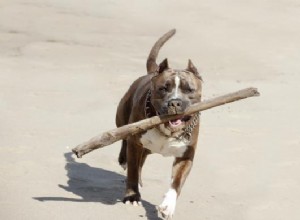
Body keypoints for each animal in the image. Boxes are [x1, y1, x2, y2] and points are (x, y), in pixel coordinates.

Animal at [116, 28, 203, 218]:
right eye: (163, 88)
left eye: (189, 90)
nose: (175, 102)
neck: (167, 131)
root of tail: (151, 72)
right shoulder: (135, 143)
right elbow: (132, 170)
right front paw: (132, 196)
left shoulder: (185, 156)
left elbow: (176, 183)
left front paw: (168, 206)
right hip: (123, 121)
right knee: (124, 141)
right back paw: (124, 161)